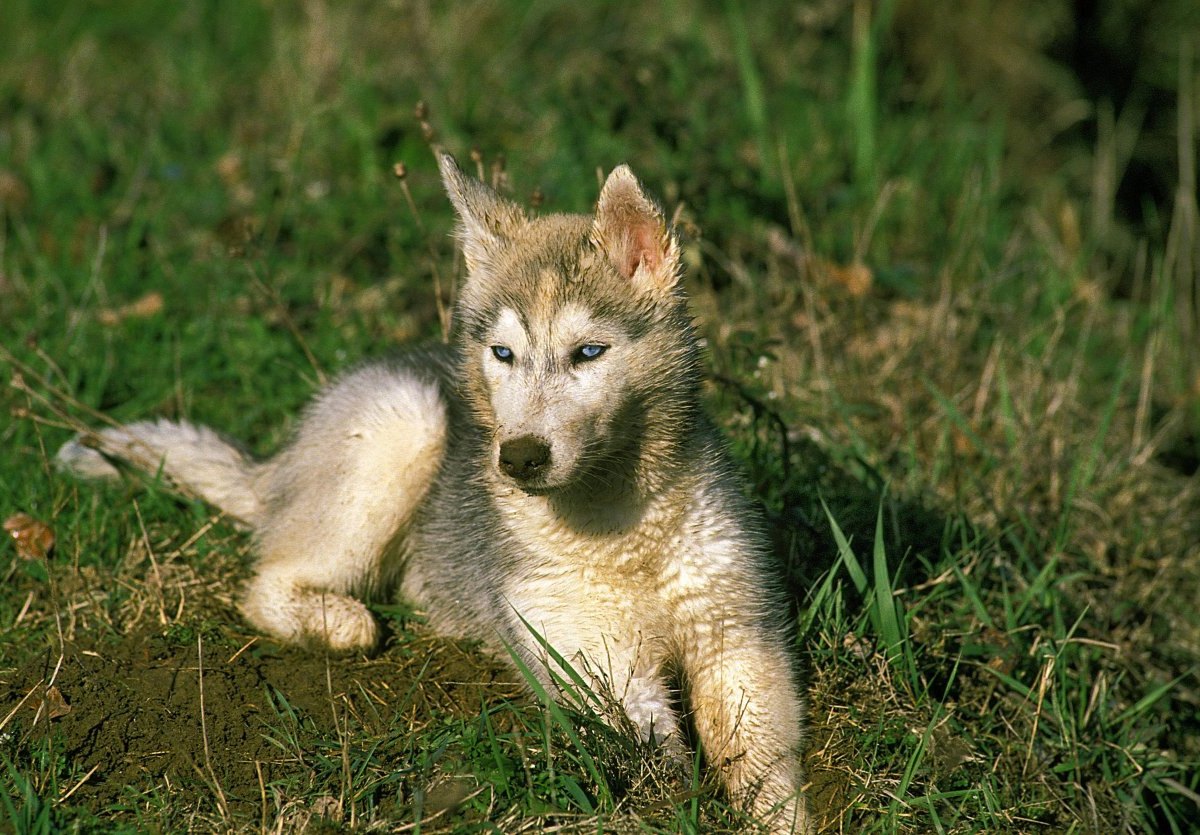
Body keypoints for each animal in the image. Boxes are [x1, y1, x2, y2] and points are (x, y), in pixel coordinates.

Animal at [63, 153, 816, 830]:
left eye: (589, 353)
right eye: (503, 354)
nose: (519, 458)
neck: (617, 525)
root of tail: (283, 458)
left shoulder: (738, 637)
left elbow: (760, 755)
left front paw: (780, 816)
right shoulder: (591, 661)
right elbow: (653, 758)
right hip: (402, 424)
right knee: (268, 584)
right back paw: (342, 619)